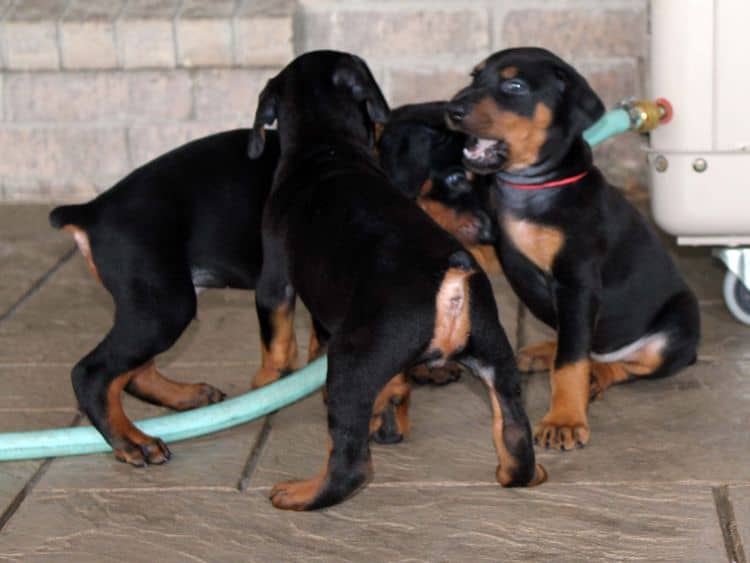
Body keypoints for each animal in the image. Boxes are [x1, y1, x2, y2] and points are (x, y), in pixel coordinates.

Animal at [248, 50, 548, 512]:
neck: (327, 147)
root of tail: (453, 274)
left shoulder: (274, 284)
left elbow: (275, 344)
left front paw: (264, 384)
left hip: (350, 364)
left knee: (350, 464)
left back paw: (300, 494)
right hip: (496, 359)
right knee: (515, 432)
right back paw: (522, 473)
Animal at [444, 48, 704, 454]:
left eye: (514, 86)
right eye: (474, 78)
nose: (452, 109)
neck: (530, 188)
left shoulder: (576, 283)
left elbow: (570, 363)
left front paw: (564, 420)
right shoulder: (503, 253)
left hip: (674, 332)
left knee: (616, 362)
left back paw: (595, 376)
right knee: (578, 342)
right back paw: (543, 351)